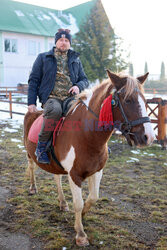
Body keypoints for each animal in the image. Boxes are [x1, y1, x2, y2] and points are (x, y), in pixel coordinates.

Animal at [24, 70, 155, 246]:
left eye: (145, 100)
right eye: (128, 100)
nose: (149, 137)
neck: (87, 136)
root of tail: (33, 111)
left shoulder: (97, 171)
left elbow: (93, 198)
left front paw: (83, 216)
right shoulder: (74, 175)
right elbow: (78, 204)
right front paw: (80, 234)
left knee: (57, 178)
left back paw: (62, 203)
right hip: (29, 153)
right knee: (32, 167)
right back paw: (33, 188)